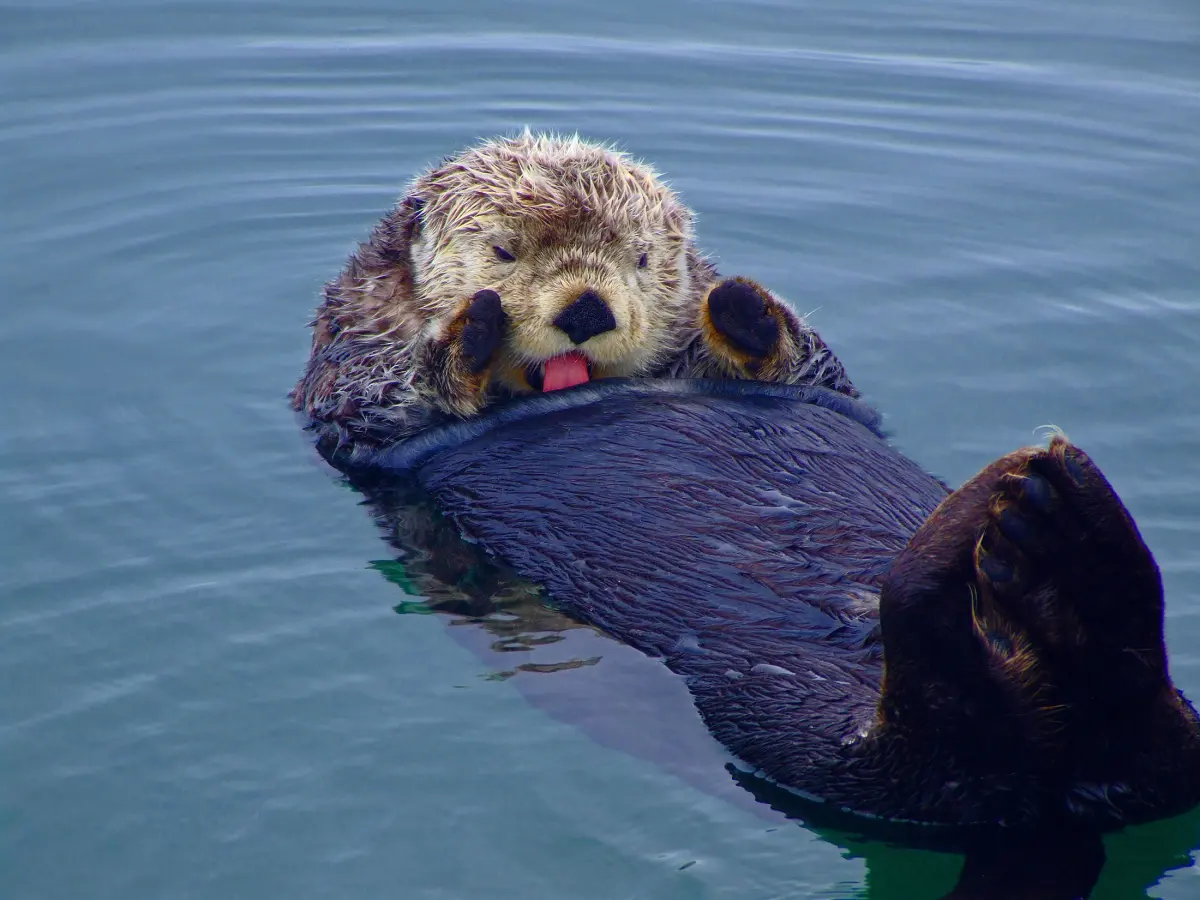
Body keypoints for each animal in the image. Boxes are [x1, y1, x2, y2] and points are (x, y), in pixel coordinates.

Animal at [291, 133, 856, 451]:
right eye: (504, 251)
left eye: (642, 259)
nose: (587, 311)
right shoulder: (349, 358)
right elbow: (377, 402)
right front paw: (468, 333)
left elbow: (820, 374)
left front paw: (743, 311)